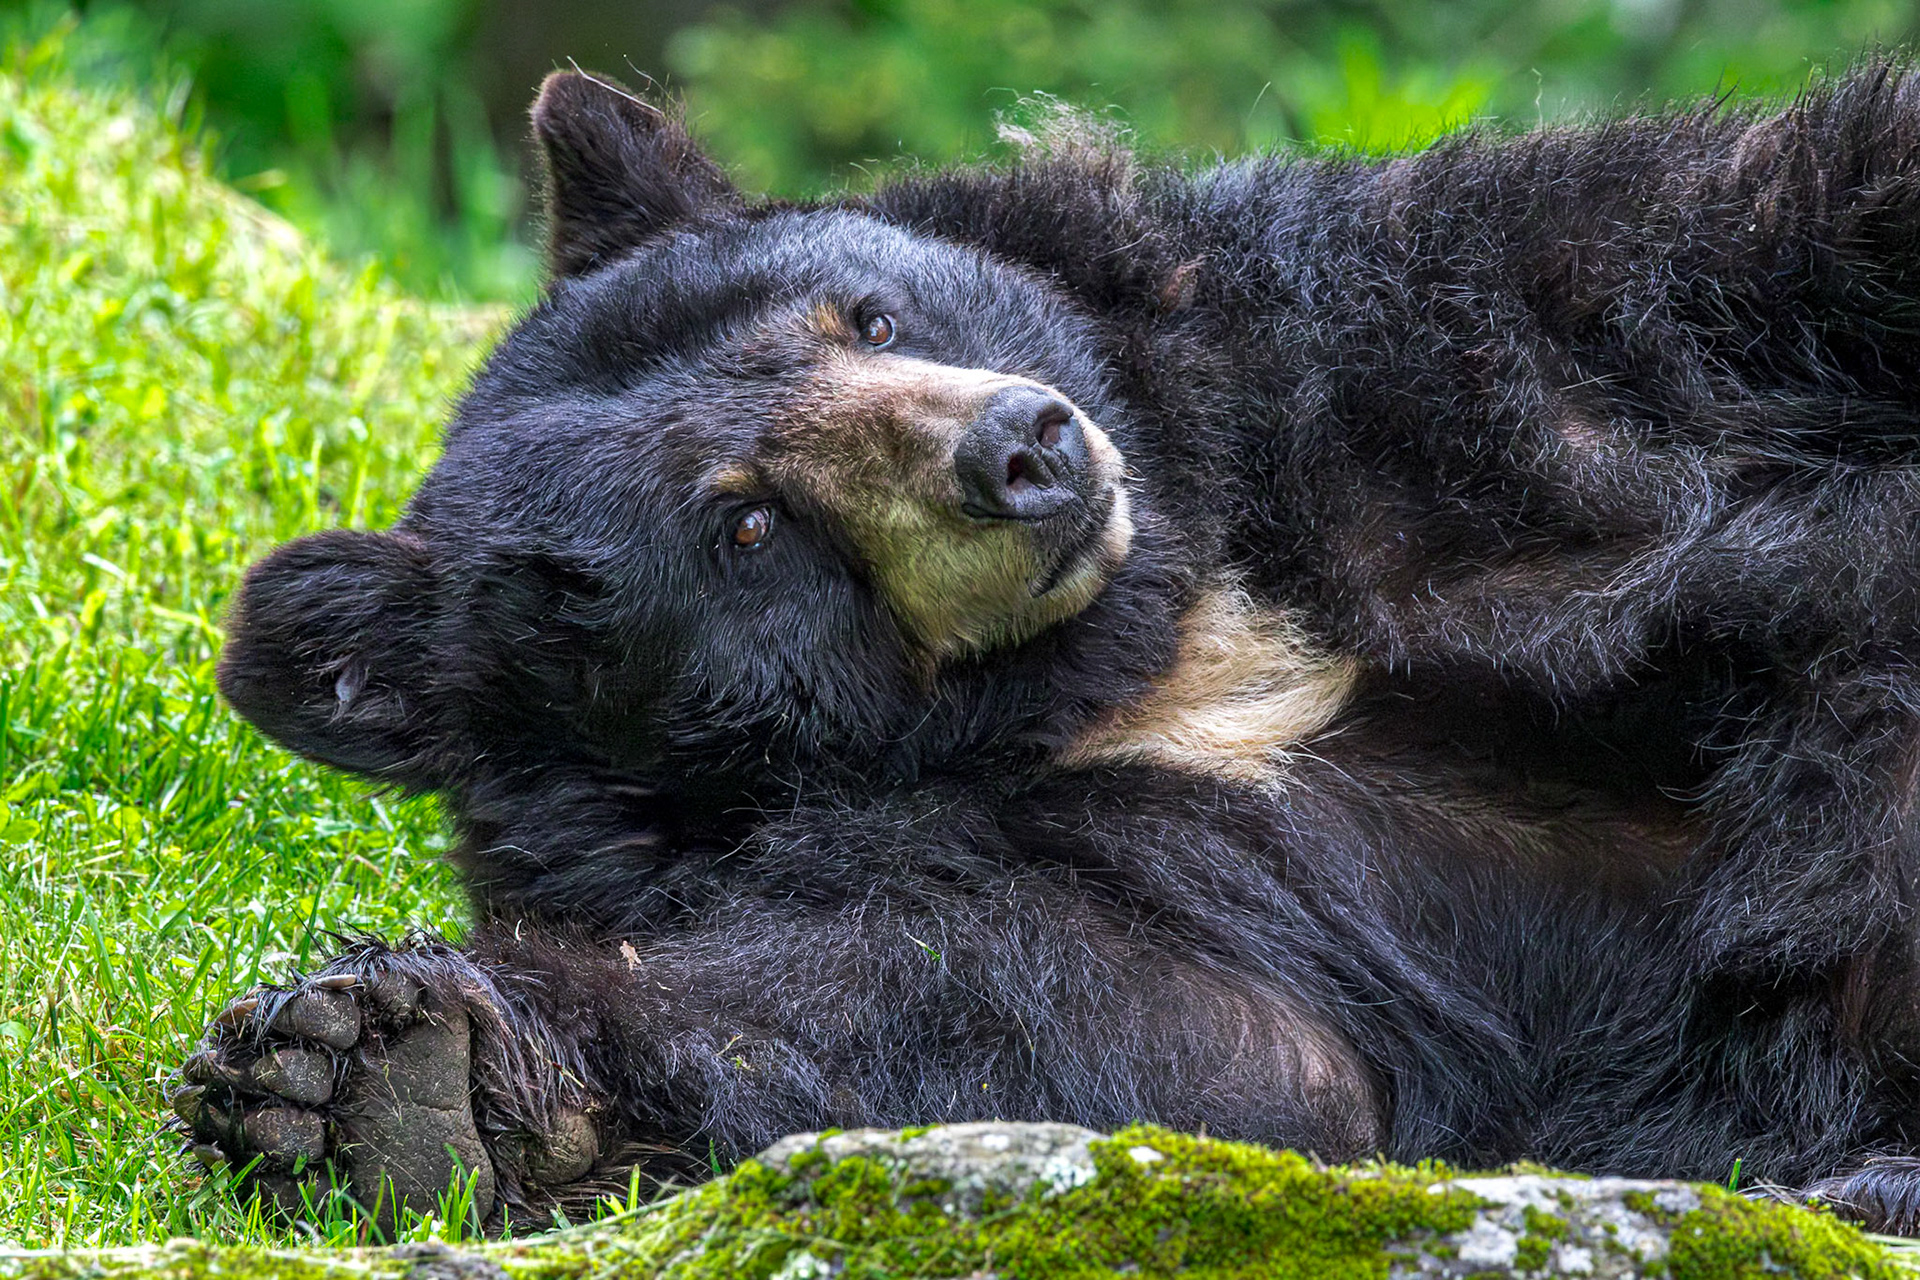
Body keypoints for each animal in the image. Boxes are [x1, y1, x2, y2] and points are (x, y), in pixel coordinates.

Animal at [171, 65, 1920, 1234]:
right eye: (747, 527)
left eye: (867, 315)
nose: (1023, 451)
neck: (1174, 638)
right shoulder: (1106, 856)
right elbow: (1147, 1038)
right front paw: (379, 1070)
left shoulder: (1467, 336)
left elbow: (1793, 214)